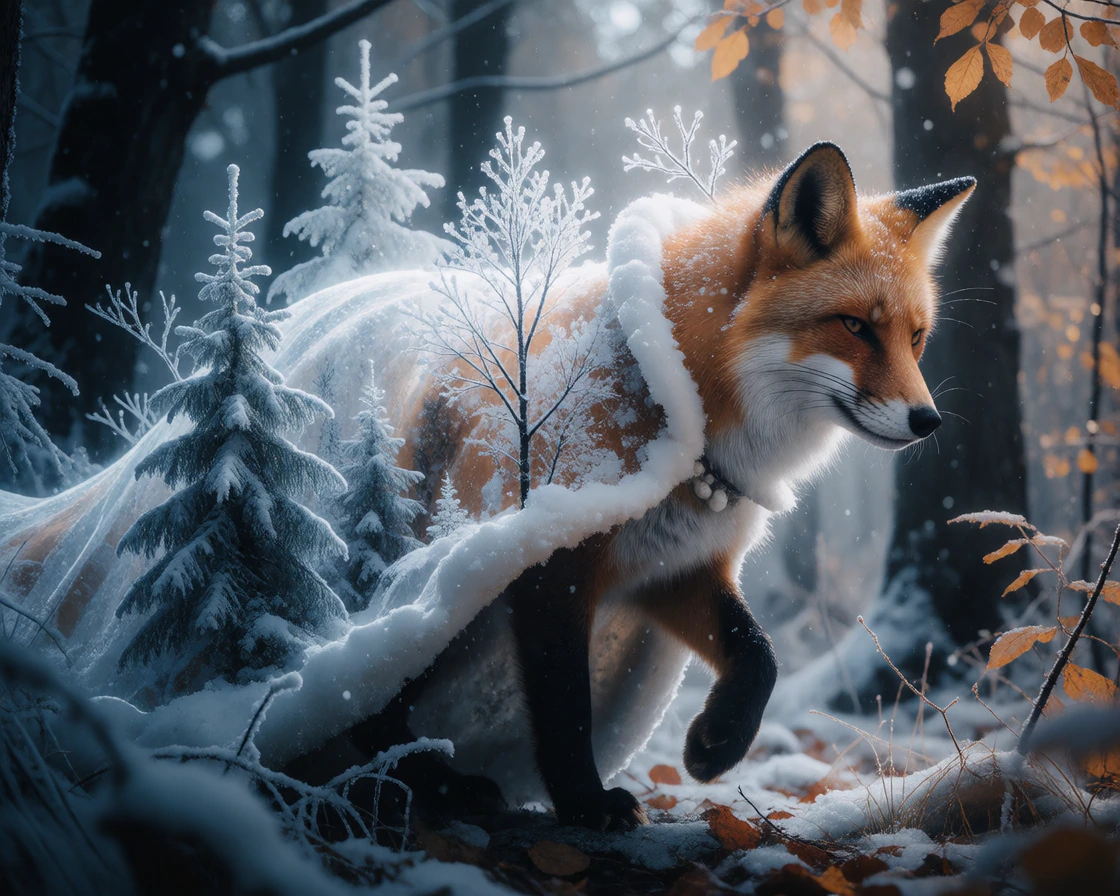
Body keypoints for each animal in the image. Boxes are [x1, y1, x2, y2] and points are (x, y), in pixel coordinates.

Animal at [284, 142, 975, 832]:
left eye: (916, 337)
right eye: (855, 326)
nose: (929, 420)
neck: (671, 394)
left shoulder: (673, 567)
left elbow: (761, 656)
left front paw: (718, 744)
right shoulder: (550, 563)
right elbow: (567, 707)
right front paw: (586, 803)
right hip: (439, 598)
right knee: (370, 704)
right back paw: (437, 785)